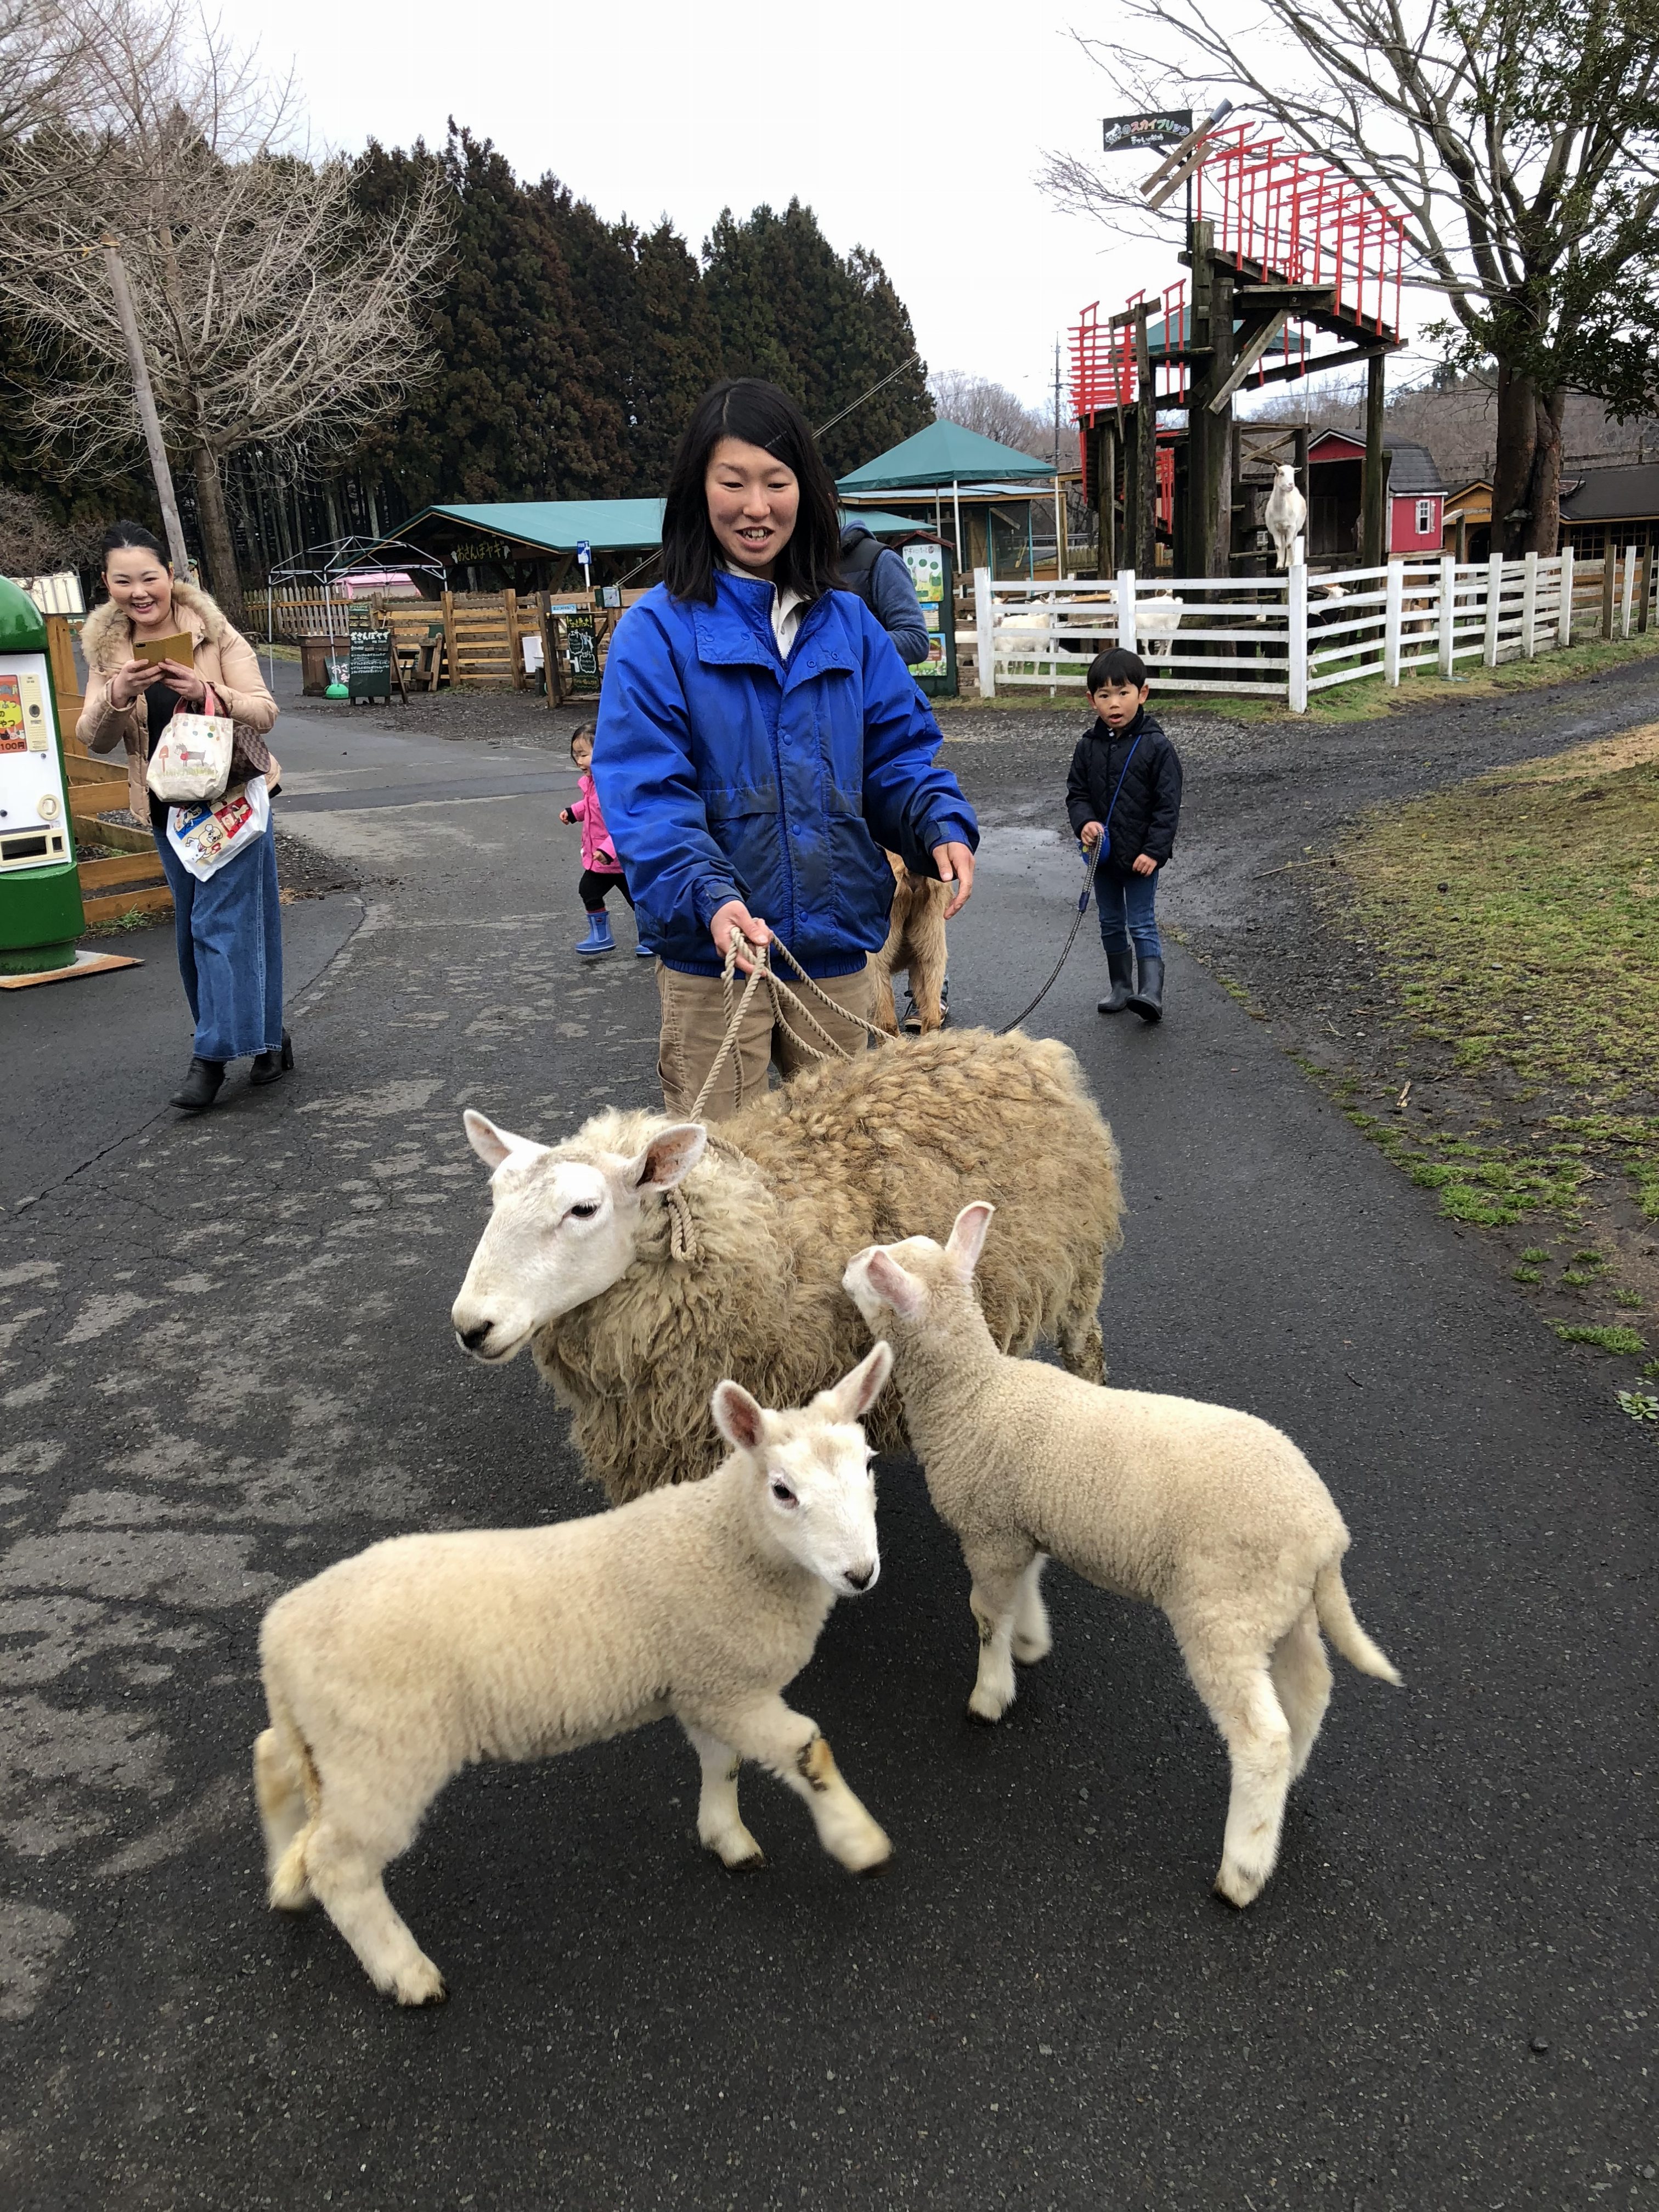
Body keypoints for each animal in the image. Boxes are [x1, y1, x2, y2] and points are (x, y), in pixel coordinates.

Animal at [253, 1347, 897, 2006]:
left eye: (870, 1465)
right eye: (783, 1490)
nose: (861, 1572)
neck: (728, 1542)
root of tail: (280, 1633)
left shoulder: (708, 1682)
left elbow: (724, 1762)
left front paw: (726, 1836)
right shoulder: (727, 1686)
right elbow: (808, 1751)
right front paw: (860, 1843)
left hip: (326, 1741)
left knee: (273, 1760)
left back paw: (285, 1880)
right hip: (382, 1752)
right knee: (341, 1864)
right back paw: (404, 1971)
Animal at [452, 1028, 1124, 1505]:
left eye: (583, 1209)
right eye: (495, 1195)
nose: (471, 1327)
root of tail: (1025, 1049)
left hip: (1080, 1267)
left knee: (1085, 1345)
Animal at [842, 1203, 1402, 1909]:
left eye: (875, 1269)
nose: (844, 1266)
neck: (974, 1392)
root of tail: (1326, 1534)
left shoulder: (989, 1528)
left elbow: (987, 1613)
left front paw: (991, 1693)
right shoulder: (1024, 1523)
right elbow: (1026, 1588)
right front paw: (1032, 1642)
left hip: (1224, 1607)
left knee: (1261, 1736)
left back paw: (1242, 1868)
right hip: (1281, 1604)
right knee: (1310, 1689)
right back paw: (1288, 1790)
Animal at [1264, 464, 1308, 571]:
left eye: (1293, 473)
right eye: (1281, 473)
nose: (1291, 485)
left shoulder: (1291, 527)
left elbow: (1289, 545)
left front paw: (1288, 564)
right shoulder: (1274, 529)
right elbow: (1278, 546)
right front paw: (1279, 565)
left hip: (1296, 527)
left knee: (1293, 542)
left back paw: (1292, 561)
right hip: (1282, 530)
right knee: (1283, 543)